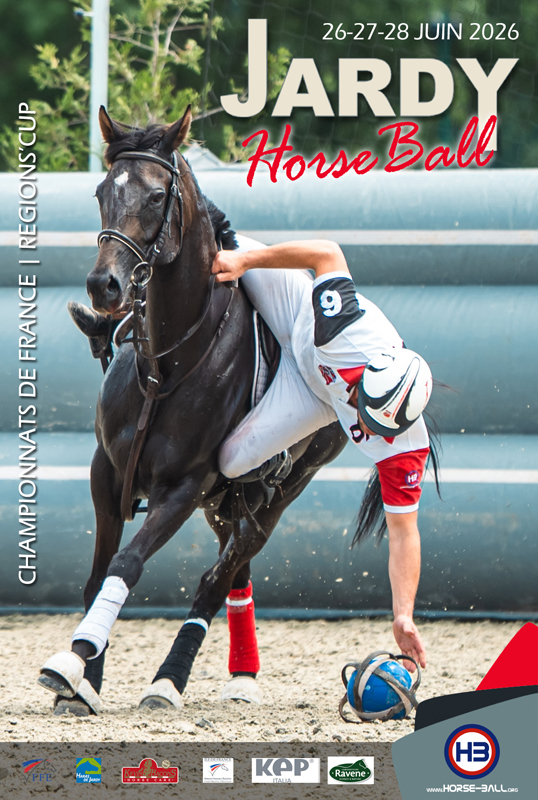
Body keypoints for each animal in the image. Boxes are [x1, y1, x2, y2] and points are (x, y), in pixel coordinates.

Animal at [37, 105, 348, 715]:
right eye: (102, 192)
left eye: (158, 196)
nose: (104, 285)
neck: (166, 364)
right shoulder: (107, 473)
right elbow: (97, 576)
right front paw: (86, 679)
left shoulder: (183, 486)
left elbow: (127, 564)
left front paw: (73, 660)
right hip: (229, 501)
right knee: (235, 572)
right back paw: (241, 676)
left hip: (282, 489)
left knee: (217, 577)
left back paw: (169, 681)